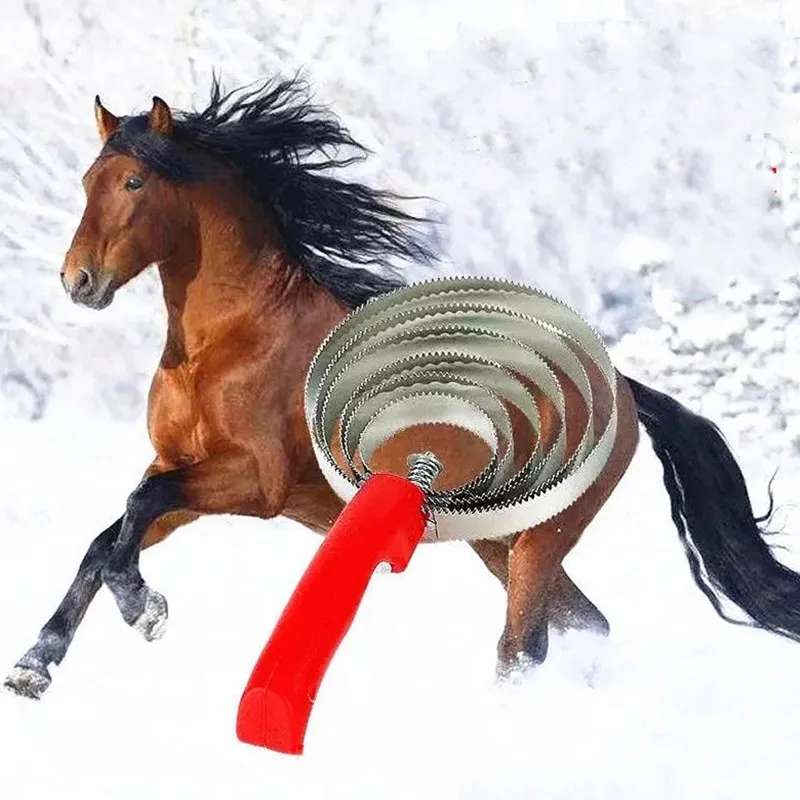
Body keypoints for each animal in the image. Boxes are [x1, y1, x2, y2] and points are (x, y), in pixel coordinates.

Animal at [5, 74, 800, 701]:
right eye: (86, 182)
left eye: (134, 182)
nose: (78, 281)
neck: (227, 341)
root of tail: (624, 391)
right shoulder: (182, 469)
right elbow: (110, 536)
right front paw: (35, 665)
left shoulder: (252, 483)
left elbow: (137, 511)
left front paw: (145, 610)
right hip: (499, 543)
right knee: (583, 626)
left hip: (539, 538)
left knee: (523, 645)